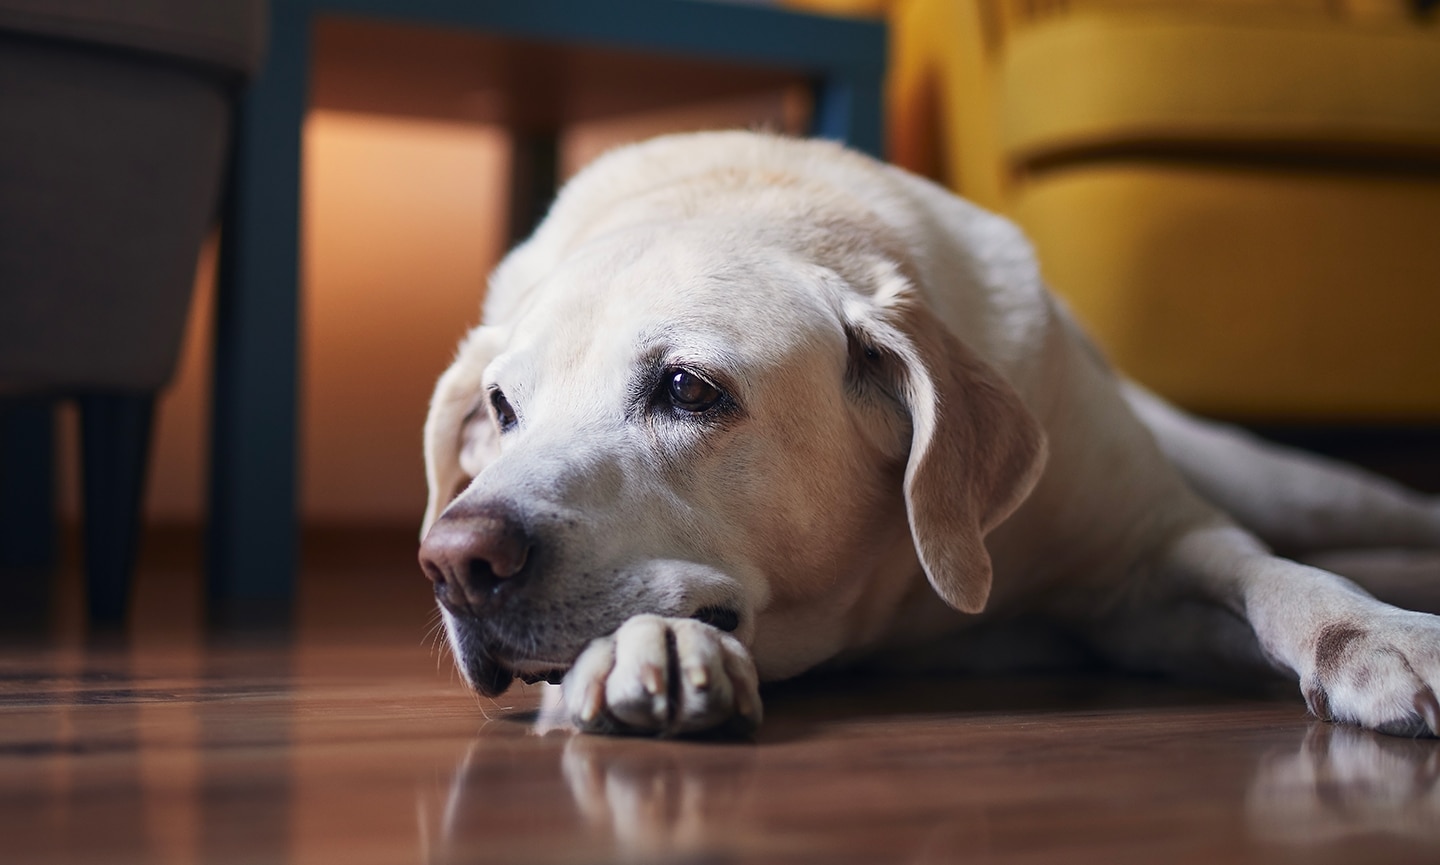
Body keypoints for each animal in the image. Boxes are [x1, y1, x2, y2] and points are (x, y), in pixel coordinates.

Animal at [417, 131, 1440, 736]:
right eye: (502, 409)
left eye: (687, 388)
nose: (455, 561)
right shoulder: (1131, 623)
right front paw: (654, 646)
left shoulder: (1155, 537)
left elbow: (1273, 573)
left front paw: (1377, 636)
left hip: (1293, 484)